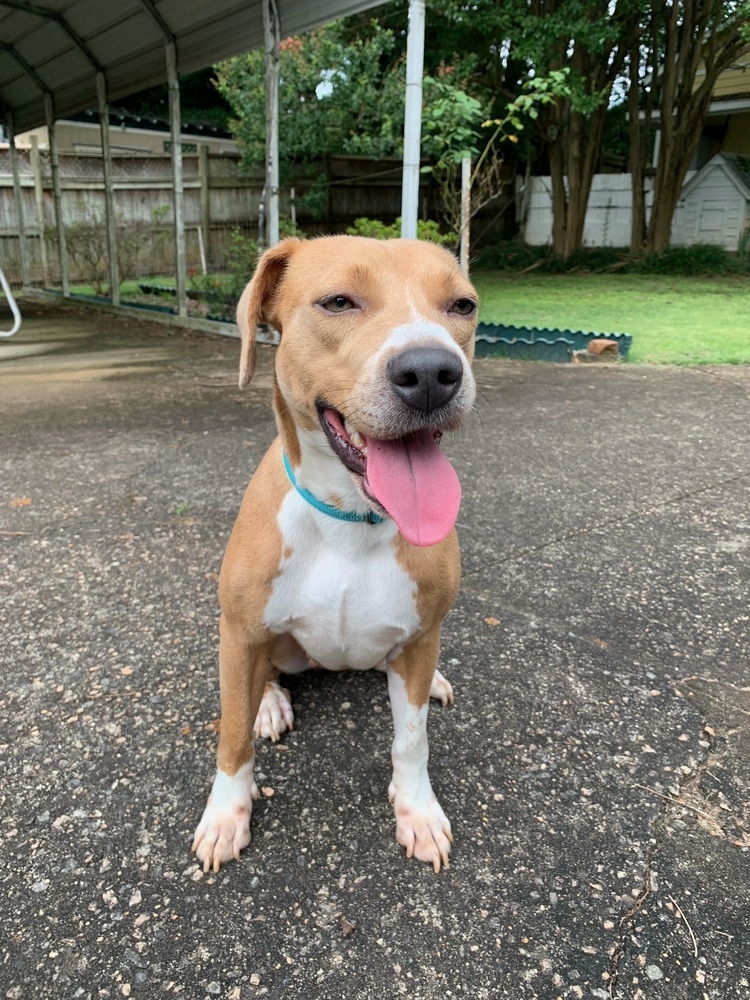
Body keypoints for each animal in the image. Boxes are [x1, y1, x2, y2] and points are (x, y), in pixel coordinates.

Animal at [191, 232, 478, 868]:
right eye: (339, 302)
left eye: (463, 306)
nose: (432, 371)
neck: (352, 517)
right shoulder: (238, 630)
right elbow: (232, 736)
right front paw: (226, 815)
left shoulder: (421, 636)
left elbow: (412, 738)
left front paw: (417, 810)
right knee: (267, 677)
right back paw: (270, 703)